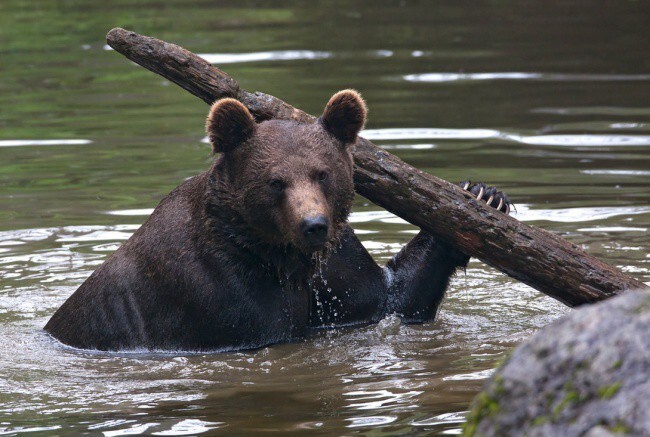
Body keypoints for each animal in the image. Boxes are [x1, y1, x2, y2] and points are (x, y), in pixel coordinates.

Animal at [46, 89, 512, 350]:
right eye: (275, 182)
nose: (313, 225)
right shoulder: (215, 291)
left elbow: (392, 296)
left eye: (322, 173)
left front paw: (483, 194)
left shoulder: (335, 270)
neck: (278, 257)